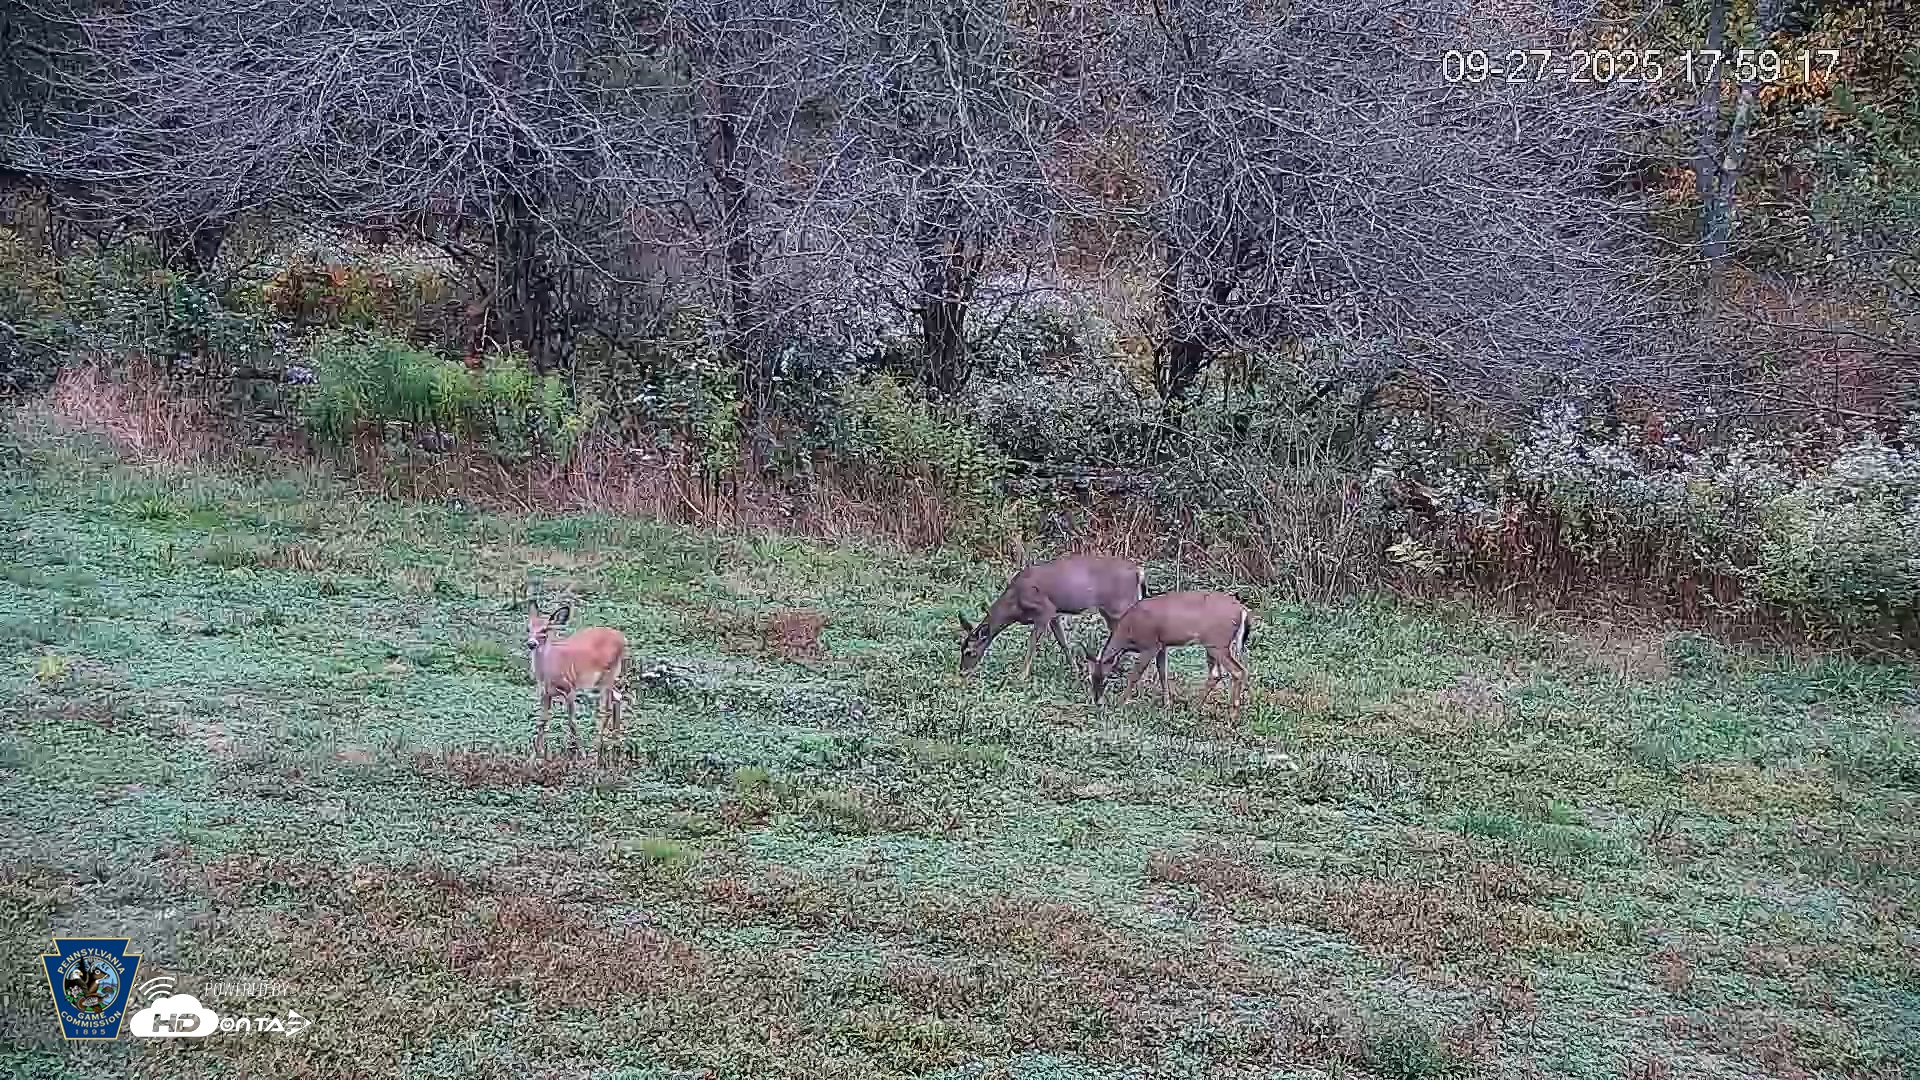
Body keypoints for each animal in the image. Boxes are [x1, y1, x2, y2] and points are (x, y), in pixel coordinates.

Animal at [525, 602, 627, 762]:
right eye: (528, 628)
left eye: (545, 629)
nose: (531, 643)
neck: (548, 673)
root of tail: (623, 638)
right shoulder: (545, 693)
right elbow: (542, 721)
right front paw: (532, 757)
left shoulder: (570, 688)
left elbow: (571, 721)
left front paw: (582, 754)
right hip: (602, 679)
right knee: (618, 697)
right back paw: (616, 742)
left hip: (609, 673)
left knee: (606, 709)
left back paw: (596, 750)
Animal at [957, 555, 1146, 682]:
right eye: (961, 648)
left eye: (970, 652)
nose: (962, 672)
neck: (1014, 604)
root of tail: (1139, 572)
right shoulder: (1055, 615)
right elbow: (1063, 642)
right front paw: (1076, 671)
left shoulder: (1045, 610)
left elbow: (1032, 643)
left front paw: (1021, 676)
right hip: (1111, 611)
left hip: (1120, 606)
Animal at [1084, 591, 1253, 715]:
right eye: (1090, 677)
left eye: (1104, 678)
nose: (1097, 701)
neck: (1128, 631)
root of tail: (1242, 611)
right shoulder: (1162, 645)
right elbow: (1163, 674)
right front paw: (1167, 704)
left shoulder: (1150, 644)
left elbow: (1135, 675)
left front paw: (1120, 703)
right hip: (1212, 645)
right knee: (1216, 674)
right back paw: (1195, 707)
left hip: (1217, 642)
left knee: (1238, 671)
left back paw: (1233, 714)